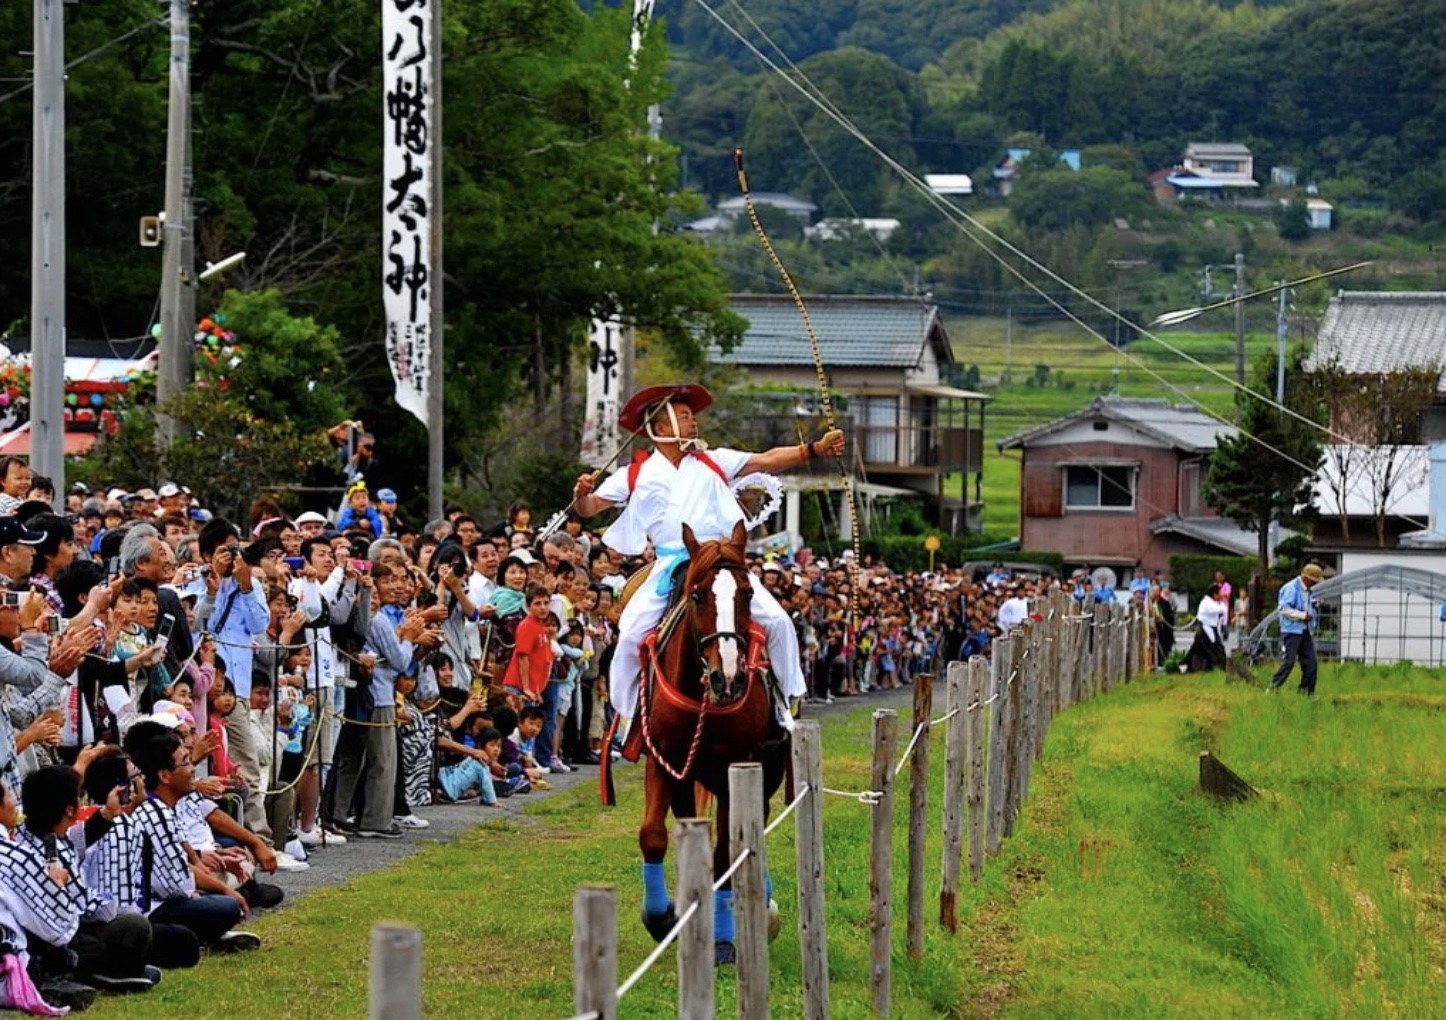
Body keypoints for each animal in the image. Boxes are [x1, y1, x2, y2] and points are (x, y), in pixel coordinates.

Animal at [636, 526, 792, 960]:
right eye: (697, 595)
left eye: (748, 594)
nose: (729, 678)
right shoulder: (664, 763)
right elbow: (653, 837)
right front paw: (661, 919)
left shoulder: (731, 771)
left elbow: (725, 854)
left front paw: (722, 940)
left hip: (767, 770)